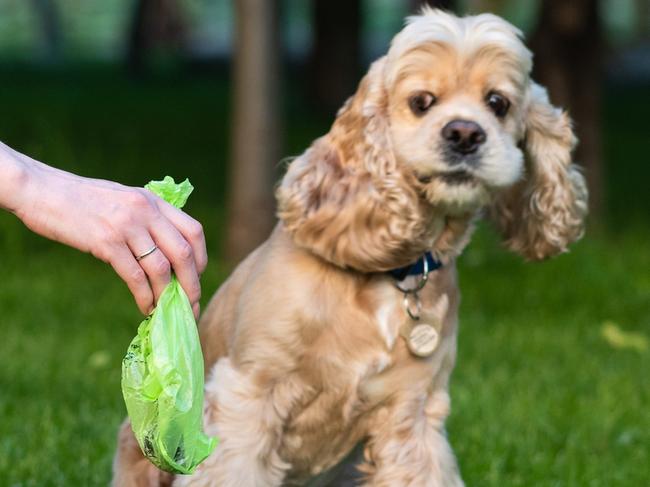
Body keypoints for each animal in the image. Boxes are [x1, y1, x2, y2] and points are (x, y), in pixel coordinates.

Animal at [112, 7, 588, 487]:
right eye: (421, 101)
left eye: (498, 103)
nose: (465, 134)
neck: (392, 275)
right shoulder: (248, 395)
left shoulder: (413, 412)